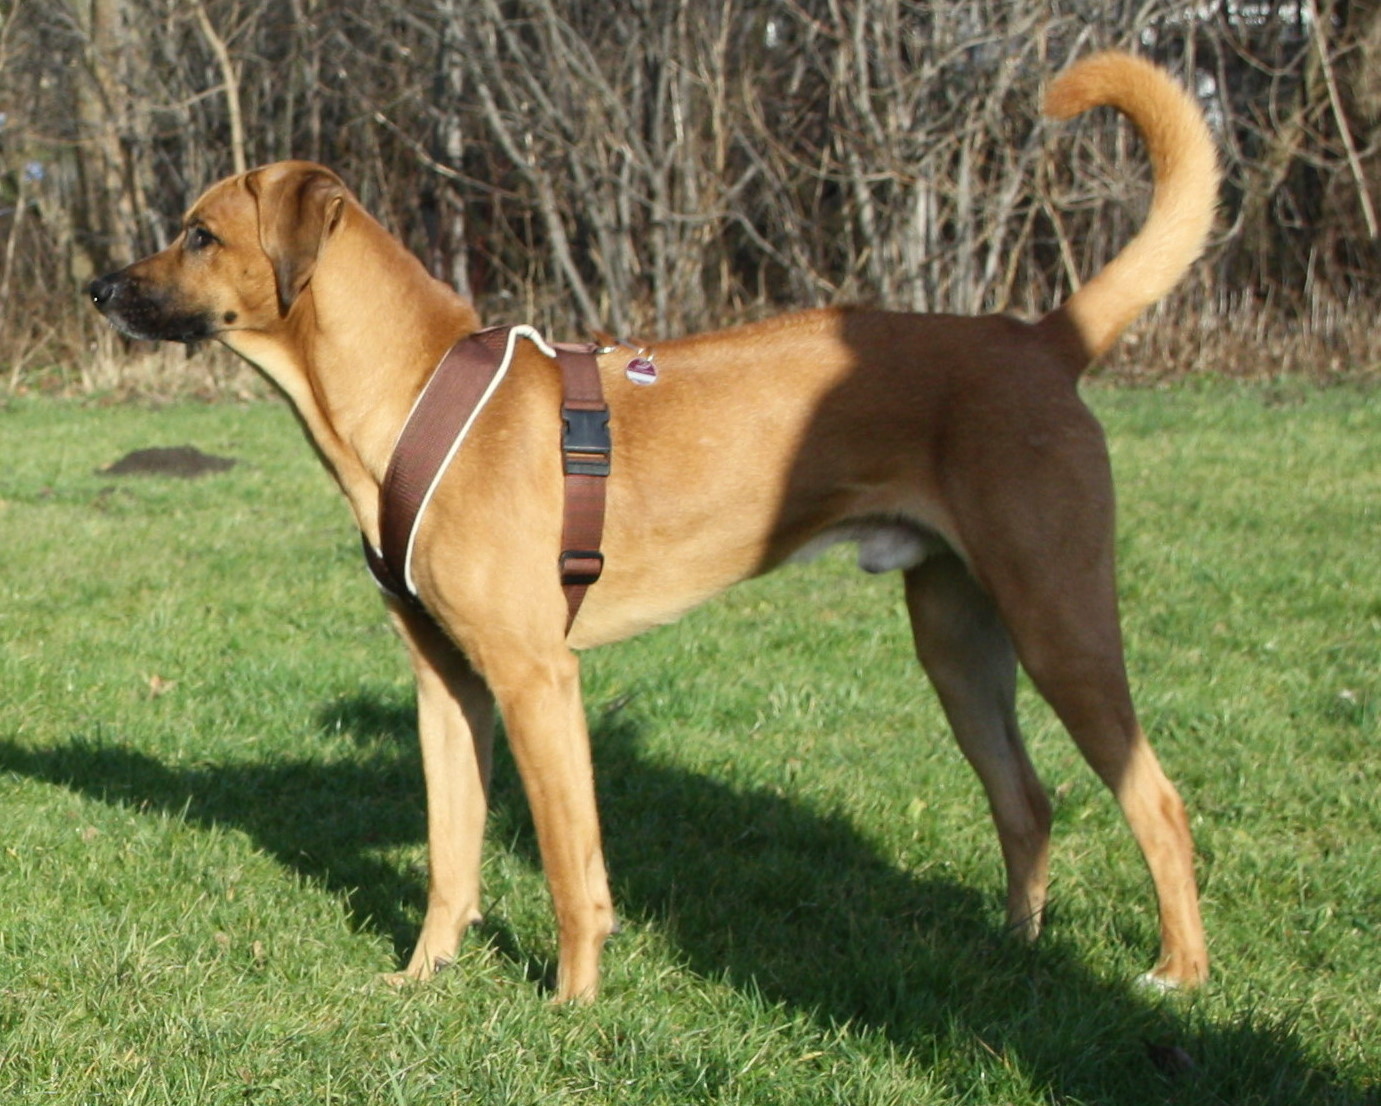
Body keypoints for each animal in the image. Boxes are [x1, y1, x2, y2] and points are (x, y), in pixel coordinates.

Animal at [91, 51, 1220, 999]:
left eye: (200, 233)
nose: (98, 285)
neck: (408, 392)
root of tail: (1041, 338)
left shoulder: (536, 677)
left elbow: (567, 864)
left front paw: (572, 1003)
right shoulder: (446, 682)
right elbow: (450, 856)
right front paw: (423, 979)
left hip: (1060, 623)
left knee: (1157, 803)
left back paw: (1177, 972)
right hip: (956, 643)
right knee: (1026, 802)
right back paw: (1017, 950)